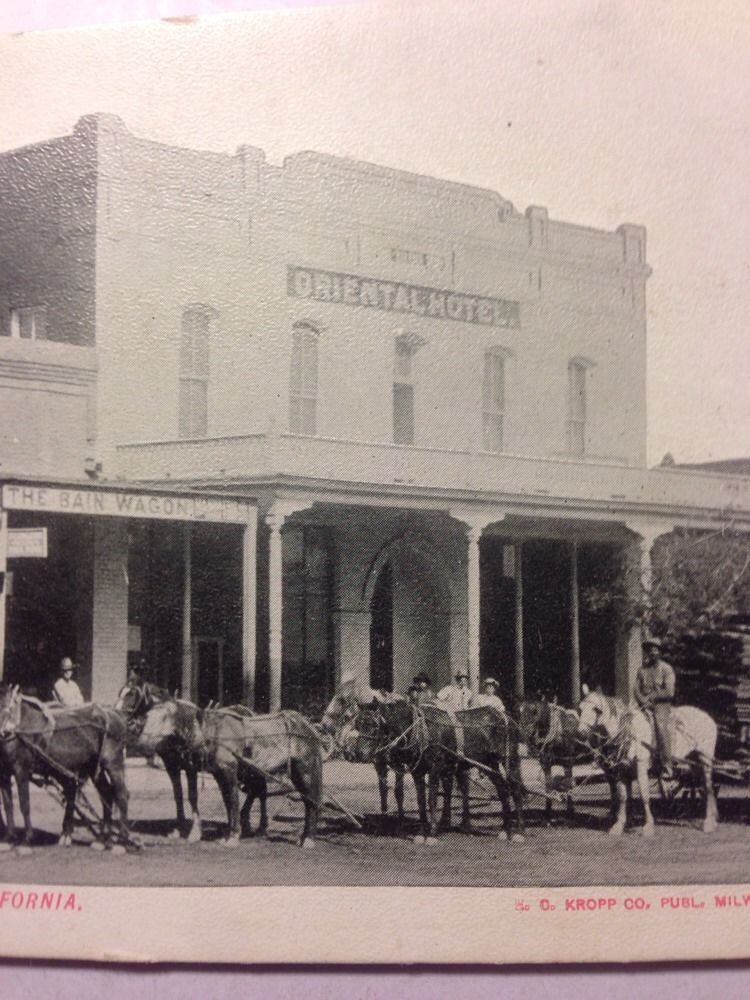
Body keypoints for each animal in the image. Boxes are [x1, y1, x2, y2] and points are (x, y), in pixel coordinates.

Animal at [0, 680, 132, 852]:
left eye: (8, 706)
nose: (4, 730)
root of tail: (115, 714)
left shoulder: (21, 770)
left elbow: (24, 804)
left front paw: (26, 841)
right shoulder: (4, 773)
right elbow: (8, 804)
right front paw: (8, 839)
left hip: (112, 763)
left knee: (121, 794)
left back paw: (122, 842)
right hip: (92, 768)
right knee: (106, 795)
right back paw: (102, 840)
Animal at [203, 708, 324, 848]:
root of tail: (310, 728)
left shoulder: (229, 773)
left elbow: (233, 803)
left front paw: (233, 837)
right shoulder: (221, 776)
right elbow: (229, 804)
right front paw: (230, 835)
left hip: (305, 772)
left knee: (310, 801)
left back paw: (308, 839)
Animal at [368, 700, 524, 848]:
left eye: (386, 726)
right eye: (375, 727)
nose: (378, 757)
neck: (423, 730)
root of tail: (506, 717)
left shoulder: (435, 770)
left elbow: (432, 799)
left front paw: (432, 834)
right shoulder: (418, 773)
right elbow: (421, 801)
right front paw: (421, 834)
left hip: (509, 759)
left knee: (515, 789)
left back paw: (519, 832)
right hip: (489, 763)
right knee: (503, 790)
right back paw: (504, 830)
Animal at [580, 688, 720, 836]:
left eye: (596, 710)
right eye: (580, 708)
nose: (581, 732)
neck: (630, 732)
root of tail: (709, 719)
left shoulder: (641, 766)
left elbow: (644, 794)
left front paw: (648, 826)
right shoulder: (621, 770)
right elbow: (623, 797)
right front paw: (618, 825)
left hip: (705, 759)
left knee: (708, 787)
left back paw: (708, 823)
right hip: (694, 762)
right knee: (705, 787)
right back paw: (712, 820)